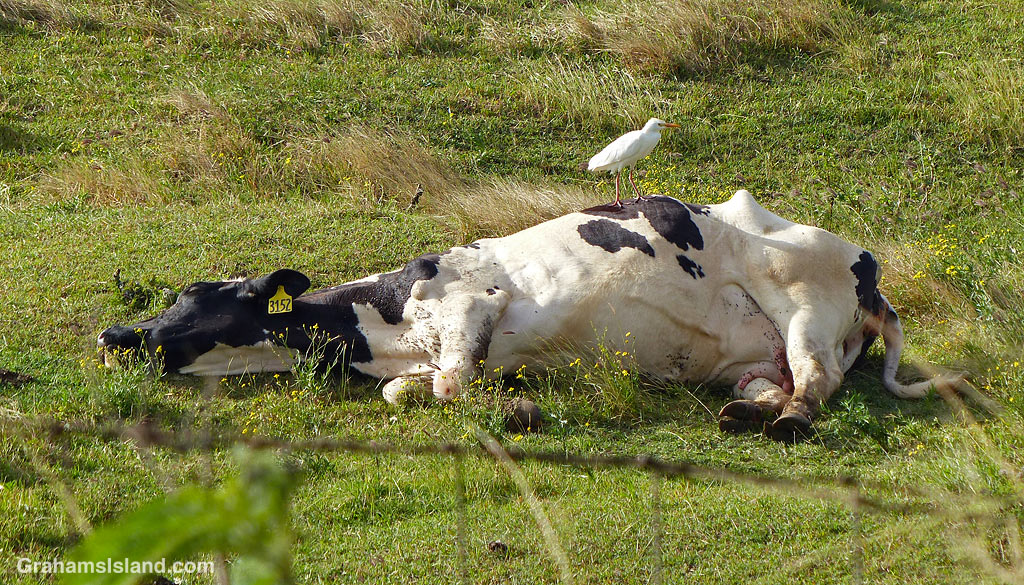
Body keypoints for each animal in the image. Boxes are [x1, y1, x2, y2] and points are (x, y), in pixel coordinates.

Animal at [98, 191, 961, 440]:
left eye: (198, 298)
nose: (116, 333)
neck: (382, 323)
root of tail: (868, 267)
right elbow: (411, 392)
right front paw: (509, 399)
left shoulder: (470, 303)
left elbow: (454, 384)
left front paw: (519, 409)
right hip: (758, 354)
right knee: (780, 382)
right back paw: (749, 412)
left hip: (801, 297)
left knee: (814, 386)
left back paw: (784, 424)